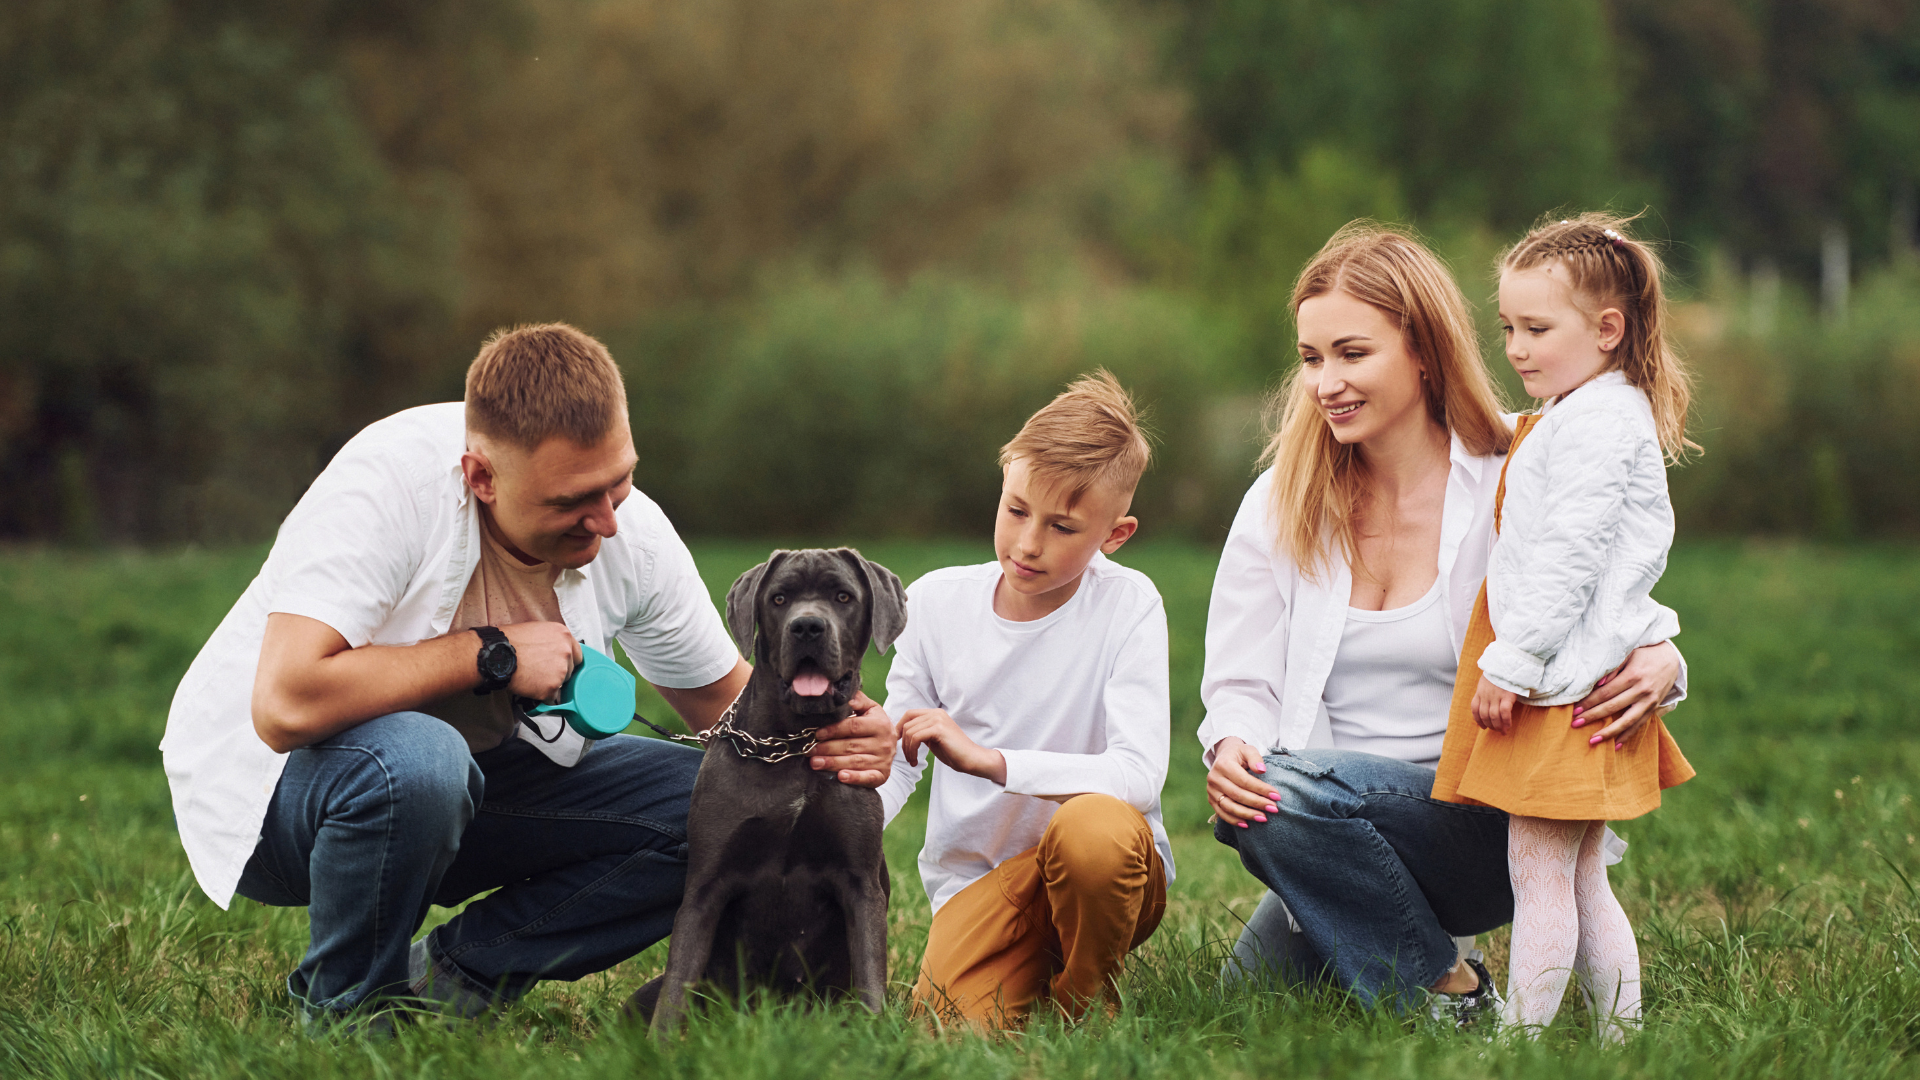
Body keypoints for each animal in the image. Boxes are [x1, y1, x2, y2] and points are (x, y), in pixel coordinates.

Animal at [645, 545, 906, 1022]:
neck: (792, 744)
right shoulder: (705, 887)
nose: (807, 626)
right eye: (779, 599)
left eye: (843, 597)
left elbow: (870, 977)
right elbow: (676, 984)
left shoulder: (860, 883)